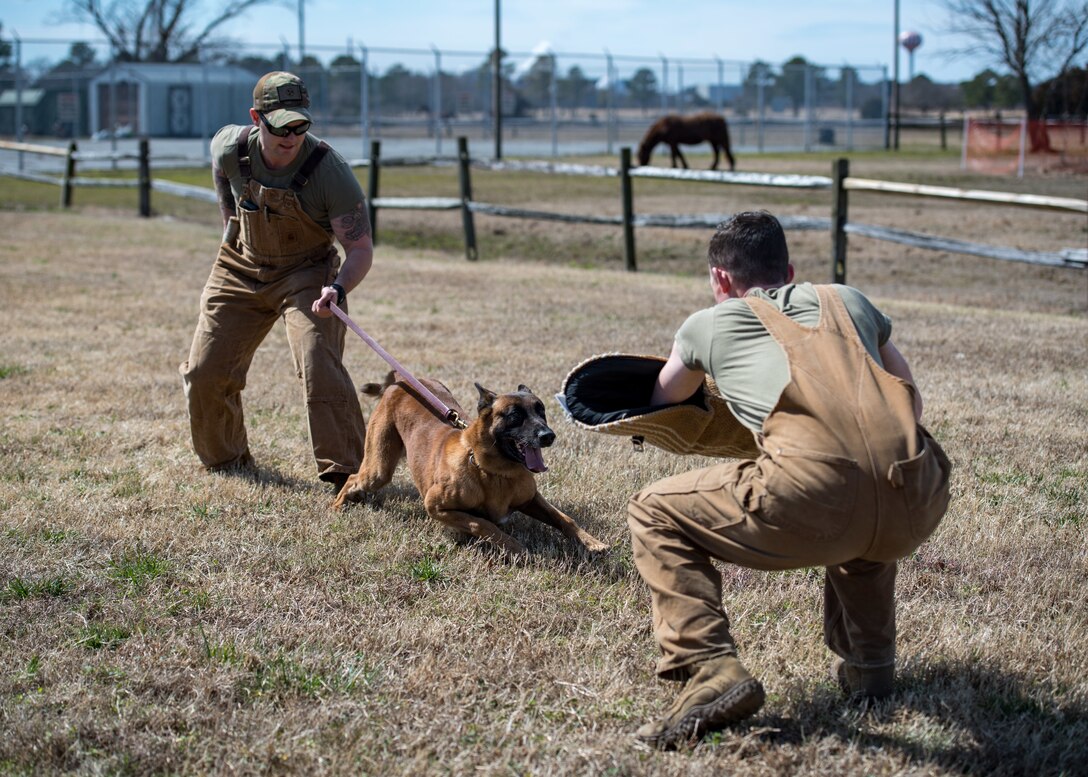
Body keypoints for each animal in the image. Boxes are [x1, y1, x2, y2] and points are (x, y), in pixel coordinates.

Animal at [332, 370, 604, 557]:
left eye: (541, 411)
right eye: (515, 415)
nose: (548, 436)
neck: (494, 472)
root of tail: (401, 381)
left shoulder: (531, 499)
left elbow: (564, 518)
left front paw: (590, 541)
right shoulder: (435, 506)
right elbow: (483, 523)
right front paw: (514, 546)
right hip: (379, 469)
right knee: (353, 479)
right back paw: (337, 506)